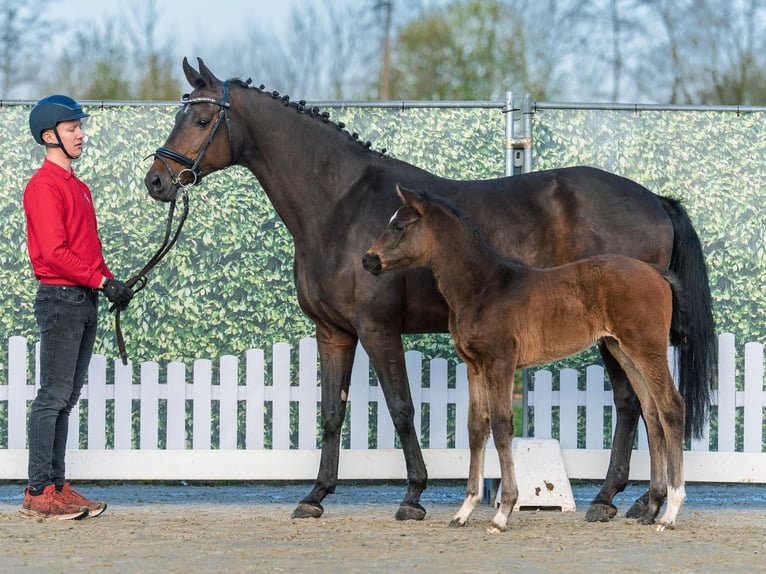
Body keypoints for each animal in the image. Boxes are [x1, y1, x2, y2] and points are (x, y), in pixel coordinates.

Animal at [363, 185, 687, 532]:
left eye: (399, 226)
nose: (368, 259)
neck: (484, 288)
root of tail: (655, 273)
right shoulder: (474, 366)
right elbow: (476, 427)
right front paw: (464, 511)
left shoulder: (501, 363)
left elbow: (502, 425)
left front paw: (503, 512)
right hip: (622, 350)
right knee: (652, 413)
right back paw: (652, 508)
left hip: (647, 347)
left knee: (671, 407)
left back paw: (670, 512)